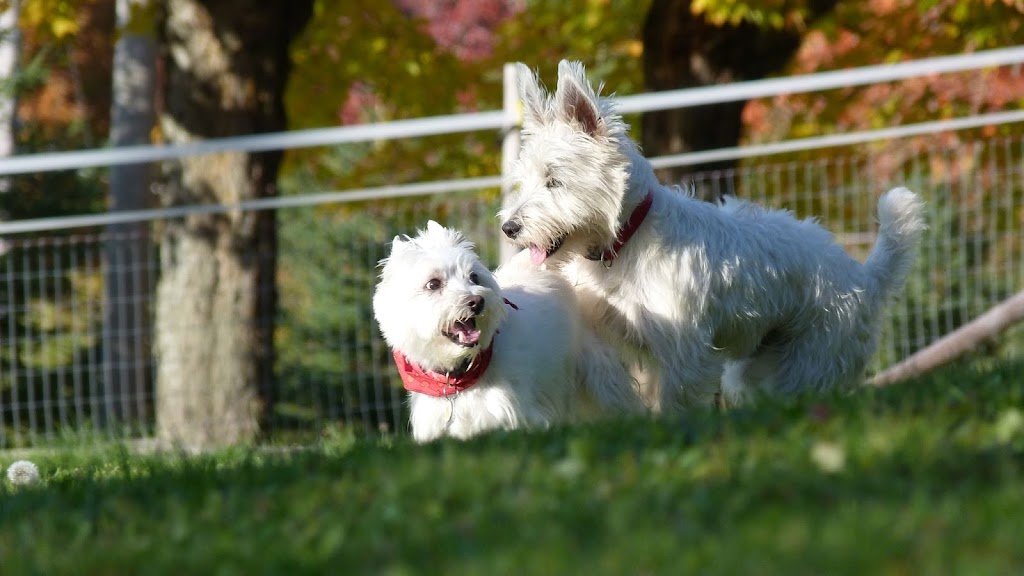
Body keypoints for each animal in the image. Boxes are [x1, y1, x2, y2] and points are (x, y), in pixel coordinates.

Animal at [499, 59, 933, 407]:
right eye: (523, 181)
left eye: (554, 181)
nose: (509, 228)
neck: (624, 246)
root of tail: (866, 277)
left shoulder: (683, 351)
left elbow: (675, 404)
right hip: (754, 369)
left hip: (808, 363)